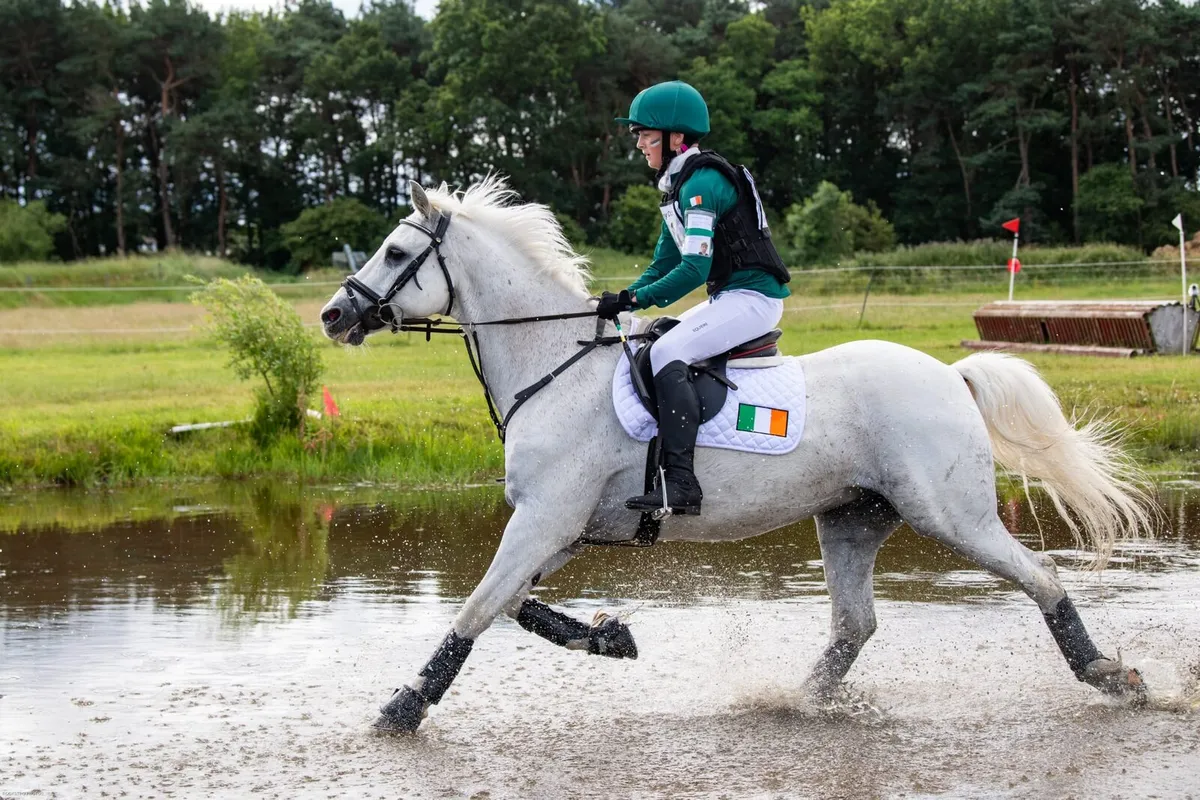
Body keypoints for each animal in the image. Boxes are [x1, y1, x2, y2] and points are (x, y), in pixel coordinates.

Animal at [319, 177, 1155, 733]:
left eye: (396, 250)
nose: (332, 315)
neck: (552, 366)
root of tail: (951, 375)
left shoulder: (544, 520)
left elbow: (476, 607)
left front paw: (404, 706)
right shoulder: (560, 528)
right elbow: (517, 606)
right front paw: (610, 637)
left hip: (951, 515)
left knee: (1041, 578)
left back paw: (1111, 676)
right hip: (853, 517)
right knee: (854, 626)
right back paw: (800, 703)